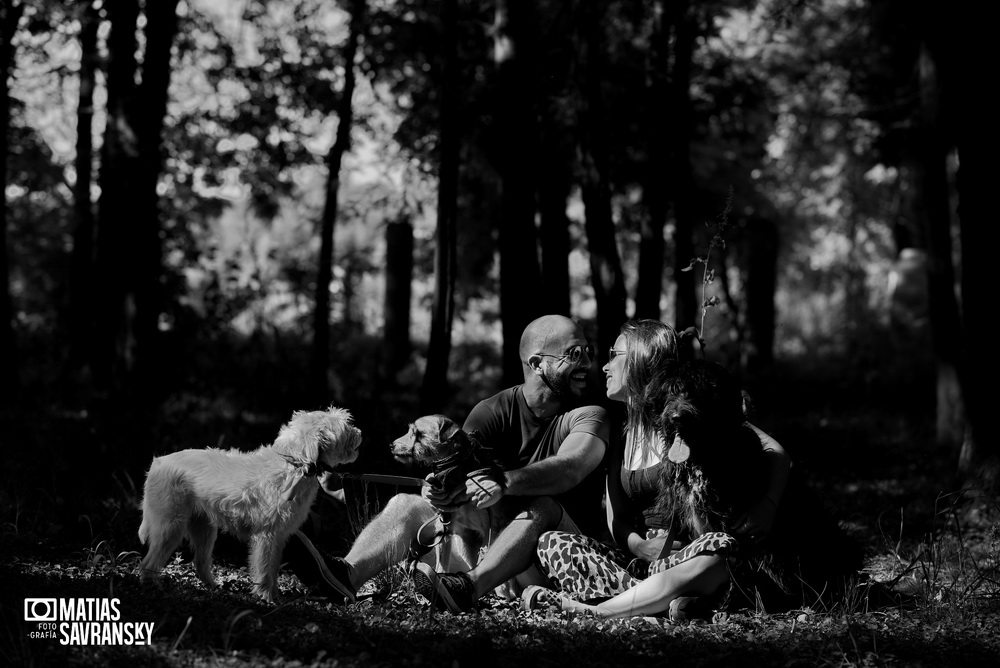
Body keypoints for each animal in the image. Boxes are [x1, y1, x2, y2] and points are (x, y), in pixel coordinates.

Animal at [139, 404, 362, 604]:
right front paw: (265, 598)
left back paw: (213, 588)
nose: (359, 432)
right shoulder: (266, 537)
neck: (294, 467)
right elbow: (264, 570)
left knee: (200, 562)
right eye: (344, 428)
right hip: (170, 527)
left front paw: (274, 595)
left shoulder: (279, 537)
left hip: (204, 530)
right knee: (148, 563)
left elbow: (273, 569)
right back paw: (154, 586)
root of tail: (158, 463)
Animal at [388, 414, 504, 572]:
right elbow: (441, 566)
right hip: (465, 548)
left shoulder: (489, 529)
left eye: (416, 433)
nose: (391, 445)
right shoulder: (445, 529)